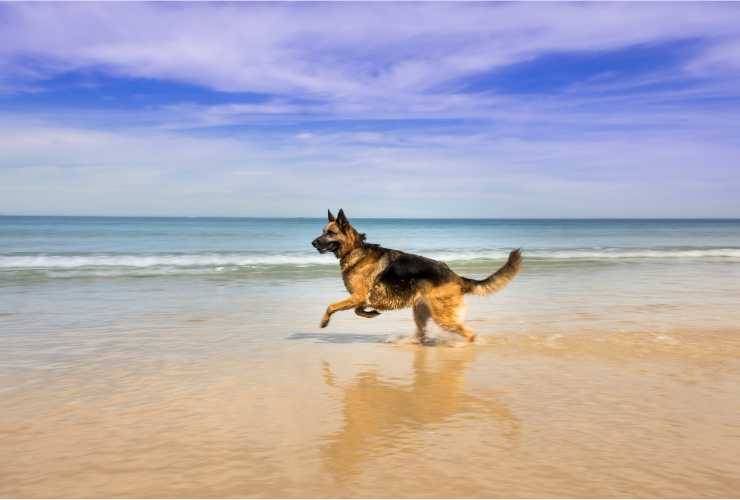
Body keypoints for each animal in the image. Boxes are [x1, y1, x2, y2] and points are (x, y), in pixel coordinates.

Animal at [310, 209, 520, 342]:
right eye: (323, 232)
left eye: (330, 233)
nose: (313, 243)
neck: (354, 250)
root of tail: (455, 276)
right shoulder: (360, 298)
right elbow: (358, 310)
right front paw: (371, 313)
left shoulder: (358, 296)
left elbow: (331, 306)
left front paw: (324, 322)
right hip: (420, 313)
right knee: (423, 334)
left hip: (442, 316)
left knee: (468, 334)